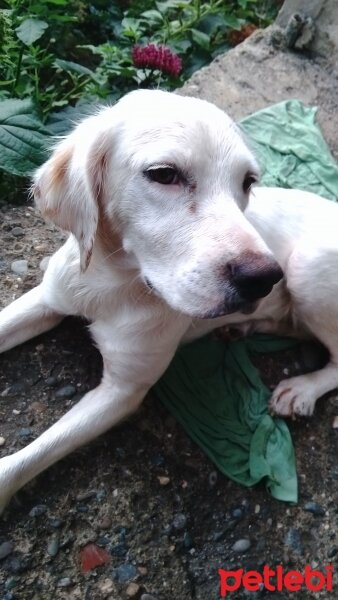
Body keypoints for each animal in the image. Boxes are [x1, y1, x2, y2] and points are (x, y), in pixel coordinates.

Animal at [0, 91, 338, 512]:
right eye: (164, 174)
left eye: (247, 182)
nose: (263, 280)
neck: (109, 286)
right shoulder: (46, 301)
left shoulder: (123, 391)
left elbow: (26, 460)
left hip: (306, 266)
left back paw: (303, 388)